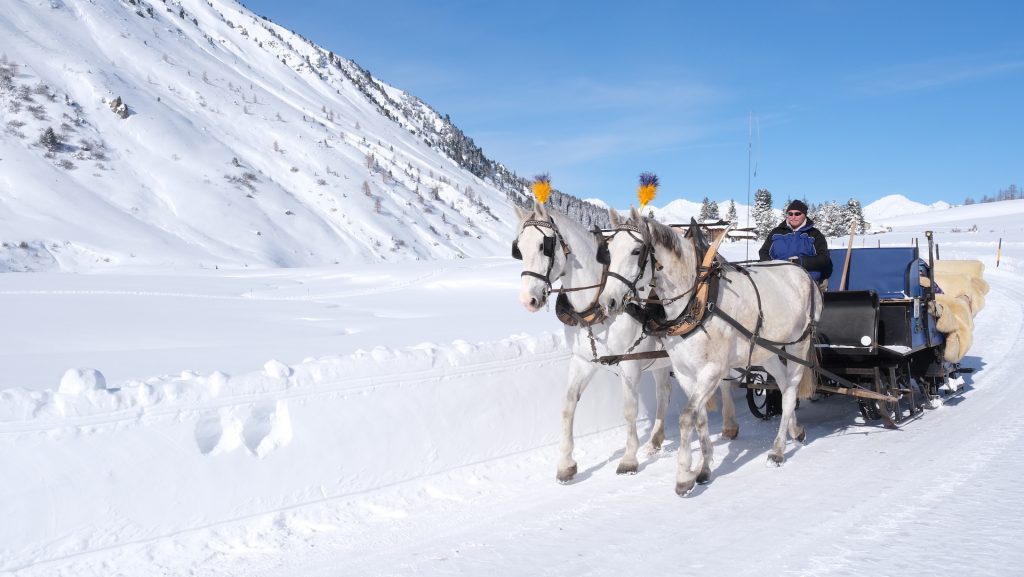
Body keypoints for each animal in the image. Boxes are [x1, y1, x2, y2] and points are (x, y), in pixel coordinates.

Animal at [514, 201, 682, 482]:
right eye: (519, 248)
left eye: (543, 245)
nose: (528, 300)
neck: (597, 306)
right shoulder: (583, 361)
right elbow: (568, 406)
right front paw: (566, 464)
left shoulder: (630, 364)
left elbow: (629, 410)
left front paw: (628, 459)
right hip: (660, 363)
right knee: (664, 392)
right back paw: (655, 441)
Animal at [598, 207, 821, 496]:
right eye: (609, 250)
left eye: (636, 251)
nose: (607, 302)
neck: (698, 299)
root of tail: (801, 271)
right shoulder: (685, 372)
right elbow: (699, 417)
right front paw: (703, 468)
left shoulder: (712, 370)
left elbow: (686, 418)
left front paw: (684, 476)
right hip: (767, 350)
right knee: (783, 387)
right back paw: (796, 430)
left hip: (798, 344)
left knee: (791, 390)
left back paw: (778, 449)